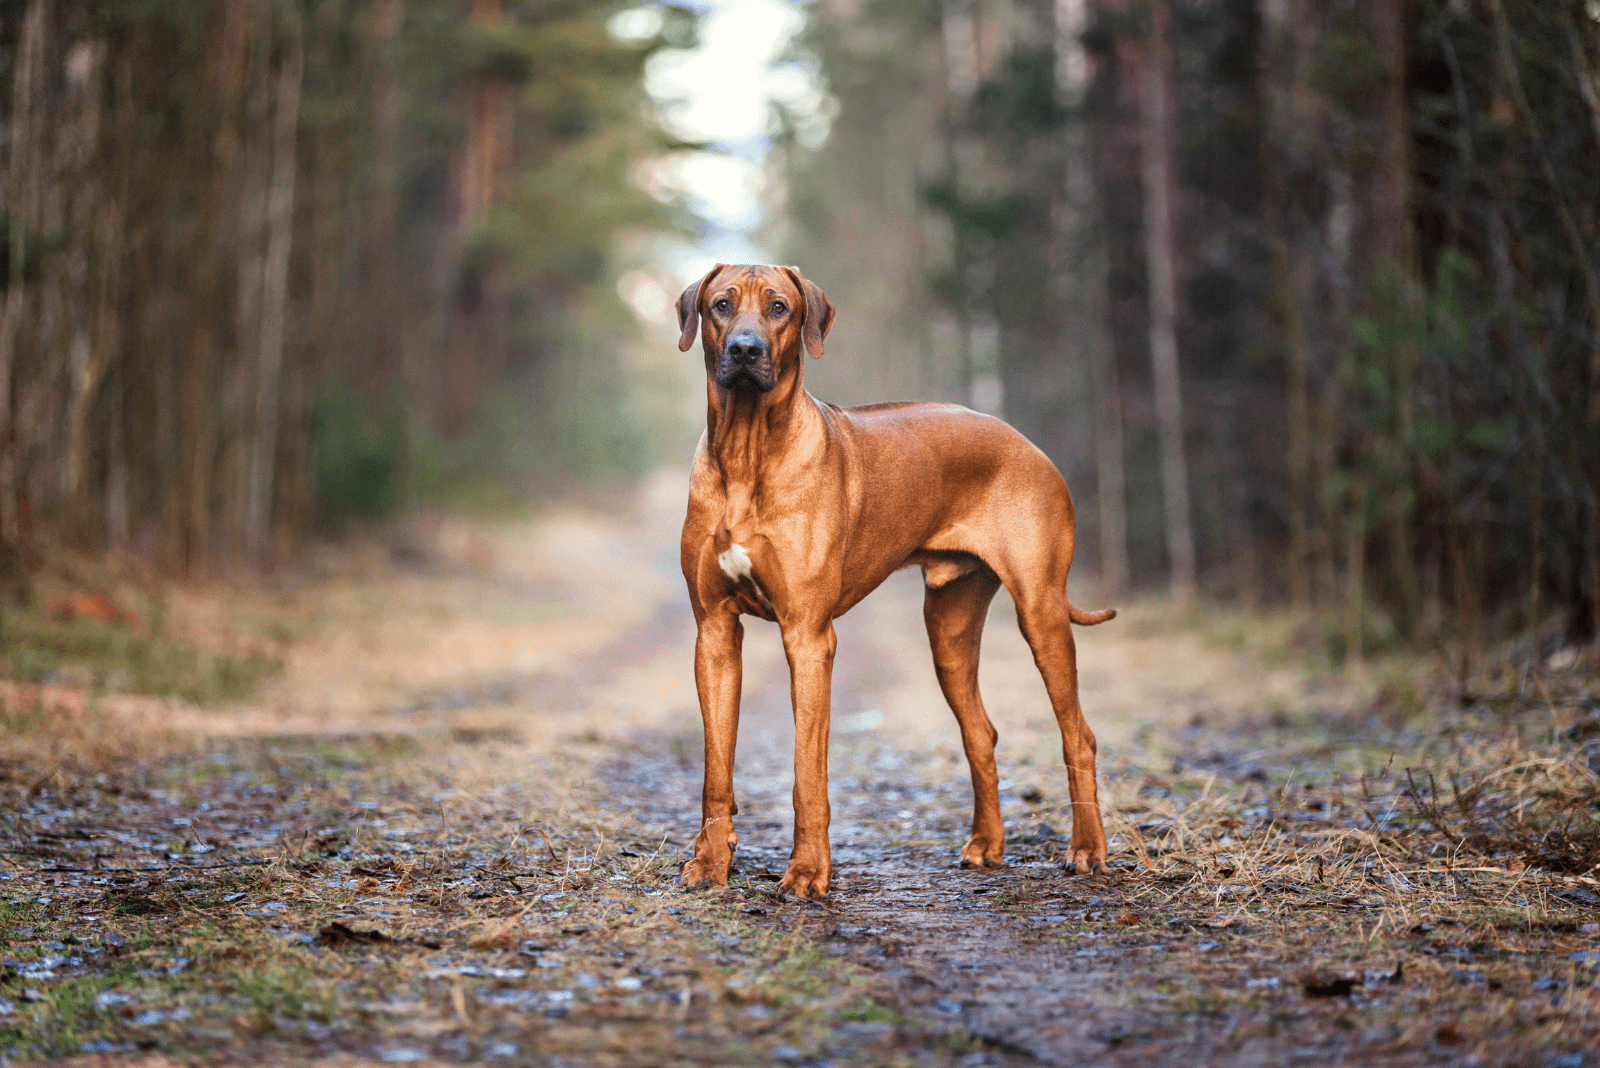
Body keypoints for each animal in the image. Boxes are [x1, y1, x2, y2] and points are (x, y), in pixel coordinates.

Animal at [675, 262, 1113, 895]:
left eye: (779, 308)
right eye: (721, 305)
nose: (744, 349)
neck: (746, 450)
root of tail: (1027, 442)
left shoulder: (808, 637)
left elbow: (807, 772)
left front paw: (807, 872)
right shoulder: (713, 633)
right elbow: (716, 770)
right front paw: (711, 862)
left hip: (1041, 610)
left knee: (1078, 734)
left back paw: (1087, 849)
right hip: (948, 629)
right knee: (981, 732)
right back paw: (987, 844)